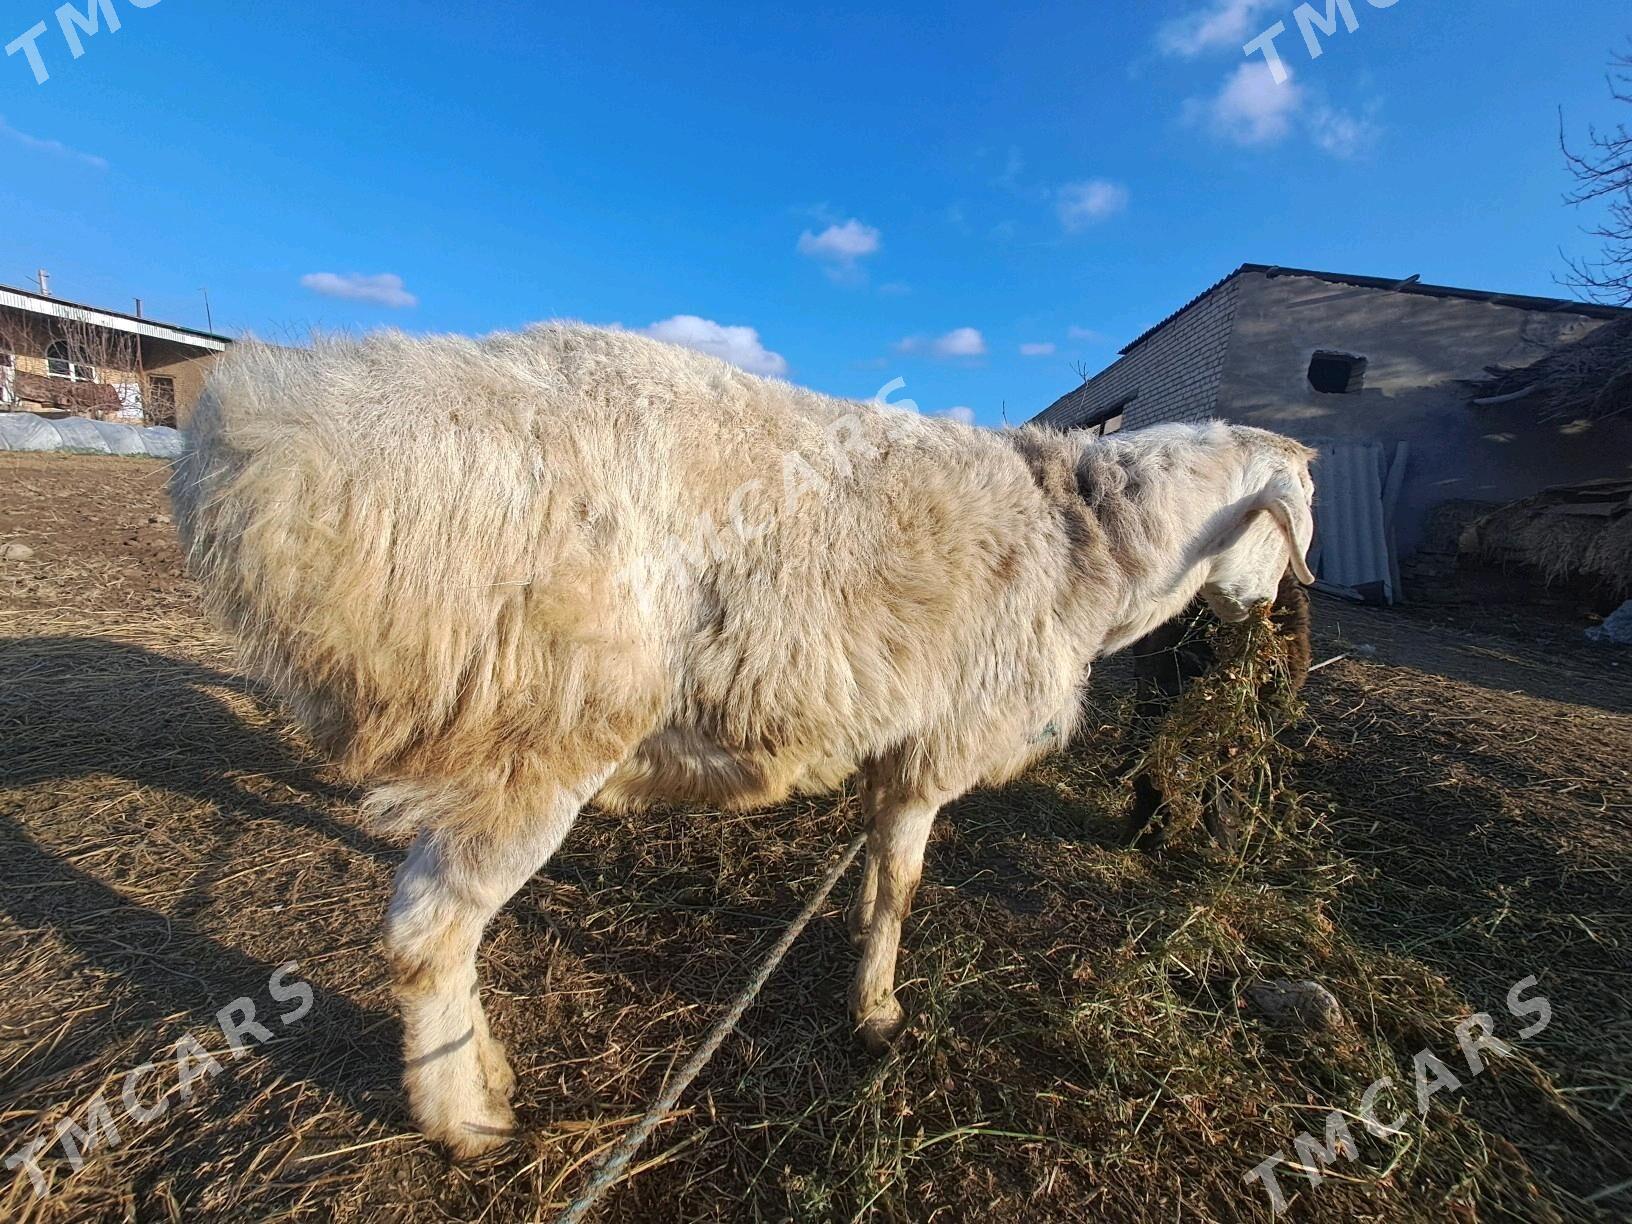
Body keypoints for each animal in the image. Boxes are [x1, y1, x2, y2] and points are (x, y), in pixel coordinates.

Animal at [168, 326, 1312, 1161]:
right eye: (1300, 513)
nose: (1284, 638)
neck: (1095, 547)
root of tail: (283, 443)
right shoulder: (937, 746)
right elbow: (904, 887)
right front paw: (879, 1013)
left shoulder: (895, 744)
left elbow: (874, 877)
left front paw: (857, 962)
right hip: (541, 737)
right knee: (428, 934)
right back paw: (466, 1121)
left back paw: (483, 1071)